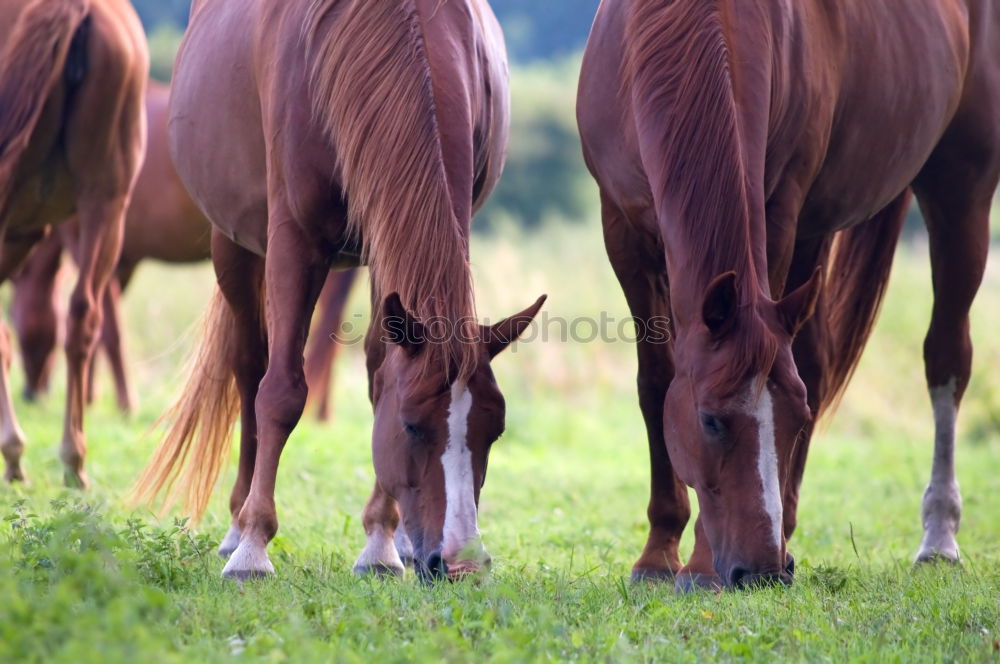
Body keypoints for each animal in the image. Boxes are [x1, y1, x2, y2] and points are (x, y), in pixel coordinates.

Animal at [9, 80, 362, 418]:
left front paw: (121, 403)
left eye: (15, 321)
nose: (30, 394)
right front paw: (92, 397)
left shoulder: (90, 242)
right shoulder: (123, 262)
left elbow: (109, 329)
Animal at [131, 0, 548, 580]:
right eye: (412, 426)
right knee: (248, 367)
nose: (460, 563)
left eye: (495, 429)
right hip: (233, 246)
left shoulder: (388, 242)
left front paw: (379, 542)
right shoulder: (294, 242)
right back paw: (236, 527)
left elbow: (379, 375)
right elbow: (280, 391)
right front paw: (253, 548)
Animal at [580, 0, 1000, 592]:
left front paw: (700, 563)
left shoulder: (778, 212)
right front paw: (658, 554)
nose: (761, 571)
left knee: (946, 358)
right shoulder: (621, 229)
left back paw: (937, 536)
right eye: (710, 420)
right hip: (817, 234)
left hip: (960, 193)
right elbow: (656, 383)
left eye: (795, 421)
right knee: (817, 362)